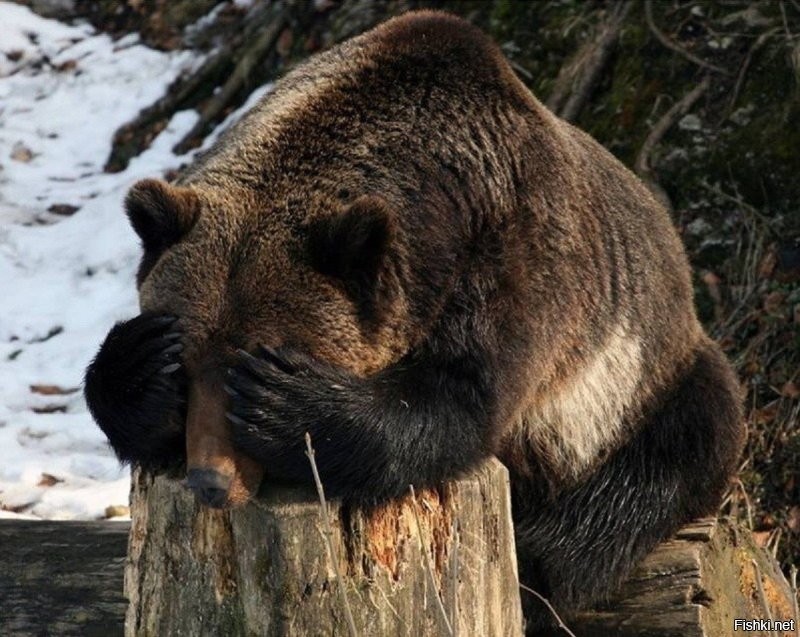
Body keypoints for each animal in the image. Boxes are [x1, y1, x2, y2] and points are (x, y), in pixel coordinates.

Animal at [84, 9, 748, 632]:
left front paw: (287, 404)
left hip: (640, 384)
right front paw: (139, 363)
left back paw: (538, 570)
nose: (210, 480)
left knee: (648, 474)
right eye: (188, 368)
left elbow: (458, 403)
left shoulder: (512, 263)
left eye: (251, 358)